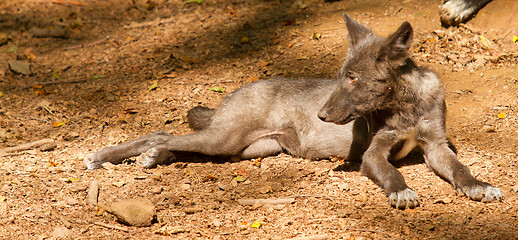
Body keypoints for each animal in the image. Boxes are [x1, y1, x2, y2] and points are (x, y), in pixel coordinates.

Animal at [85, 13, 504, 209]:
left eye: (353, 78)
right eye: (340, 77)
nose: (320, 116)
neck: (407, 106)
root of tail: (236, 91)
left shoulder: (436, 147)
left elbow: (461, 169)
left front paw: (478, 185)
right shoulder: (373, 154)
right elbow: (391, 174)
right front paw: (401, 192)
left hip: (242, 150)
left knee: (175, 143)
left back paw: (156, 157)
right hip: (225, 139)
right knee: (161, 132)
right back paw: (106, 155)